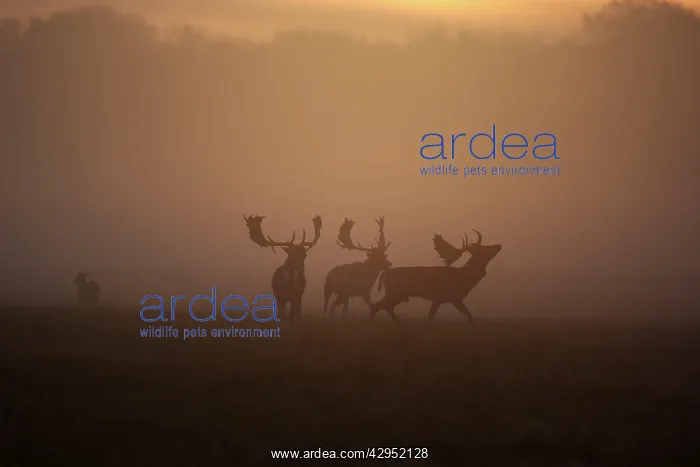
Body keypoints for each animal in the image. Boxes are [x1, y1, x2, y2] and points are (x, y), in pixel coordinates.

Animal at [370, 229, 502, 328]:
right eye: (484, 249)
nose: (499, 245)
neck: (464, 278)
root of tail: (385, 273)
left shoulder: (438, 299)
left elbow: (430, 318)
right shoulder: (454, 298)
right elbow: (469, 315)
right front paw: (475, 332)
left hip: (397, 294)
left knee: (383, 306)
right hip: (396, 293)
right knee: (380, 306)